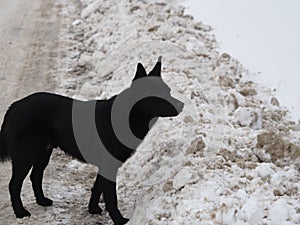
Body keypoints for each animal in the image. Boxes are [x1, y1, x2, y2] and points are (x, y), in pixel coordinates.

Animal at [0, 57, 184, 224]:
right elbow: (111, 197)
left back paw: (42, 201)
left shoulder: (106, 166)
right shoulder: (109, 166)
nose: (182, 105)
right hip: (25, 155)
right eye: (158, 95)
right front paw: (118, 220)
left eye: (168, 91)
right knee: (14, 184)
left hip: (43, 152)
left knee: (35, 176)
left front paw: (93, 209)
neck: (128, 114)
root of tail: (14, 106)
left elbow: (97, 188)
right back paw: (20, 212)